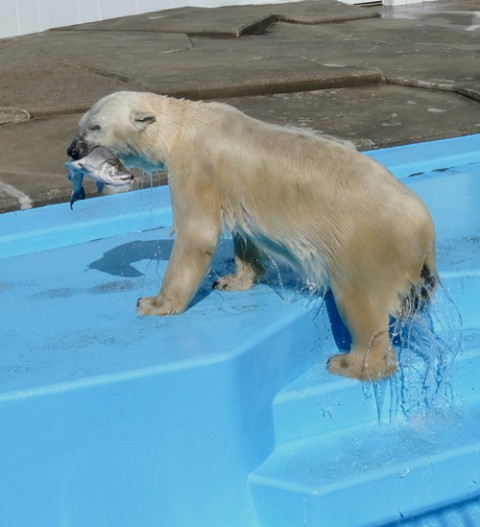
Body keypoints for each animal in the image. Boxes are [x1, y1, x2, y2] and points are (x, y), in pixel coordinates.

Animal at [68, 89, 438, 380]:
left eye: (96, 126)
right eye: (81, 124)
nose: (72, 151)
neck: (182, 126)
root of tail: (426, 233)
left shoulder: (197, 167)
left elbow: (197, 235)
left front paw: (152, 303)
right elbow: (243, 232)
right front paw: (231, 280)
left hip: (367, 246)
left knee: (361, 306)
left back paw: (349, 365)